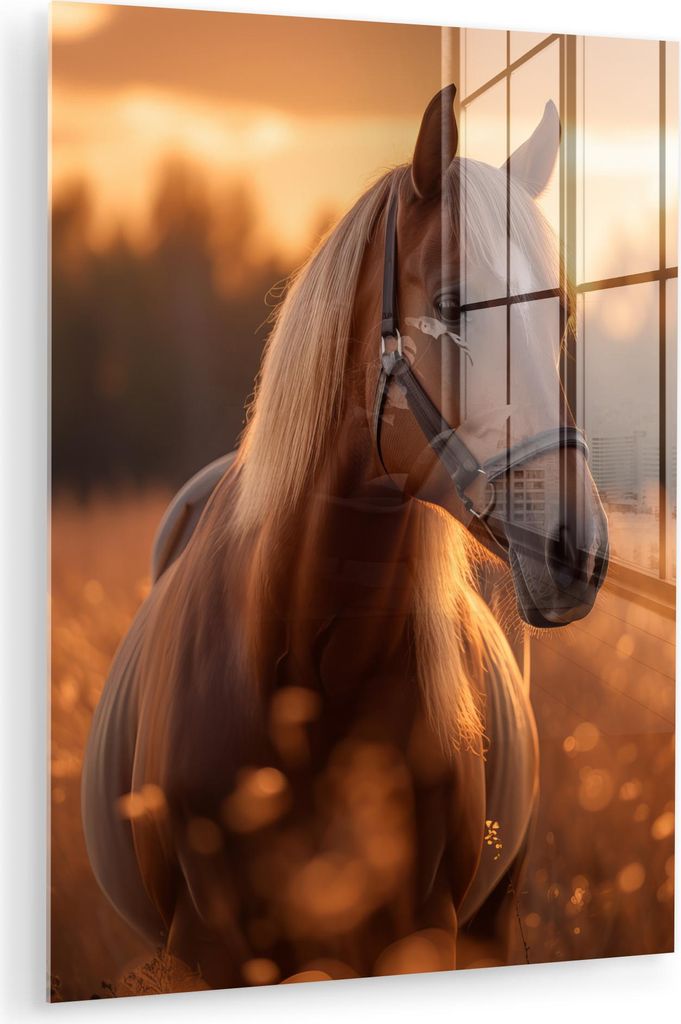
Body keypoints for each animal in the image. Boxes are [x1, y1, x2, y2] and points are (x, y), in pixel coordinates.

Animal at [81, 84, 609, 988]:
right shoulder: (207, 949)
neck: (300, 664)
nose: (573, 548)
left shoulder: (419, 936)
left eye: (561, 313)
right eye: (452, 304)